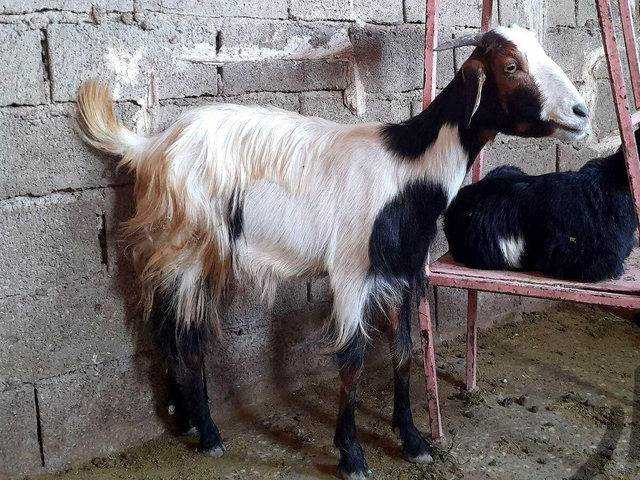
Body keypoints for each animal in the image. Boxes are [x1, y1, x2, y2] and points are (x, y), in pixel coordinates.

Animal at [76, 25, 589, 479]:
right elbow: (352, 359)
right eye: (510, 66)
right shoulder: (351, 273)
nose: (582, 112)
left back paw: (183, 418)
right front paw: (352, 454)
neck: (408, 169)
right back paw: (209, 434)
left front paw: (413, 441)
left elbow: (404, 351)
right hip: (186, 248)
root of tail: (149, 147)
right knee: (188, 338)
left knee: (165, 330)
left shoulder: (404, 273)